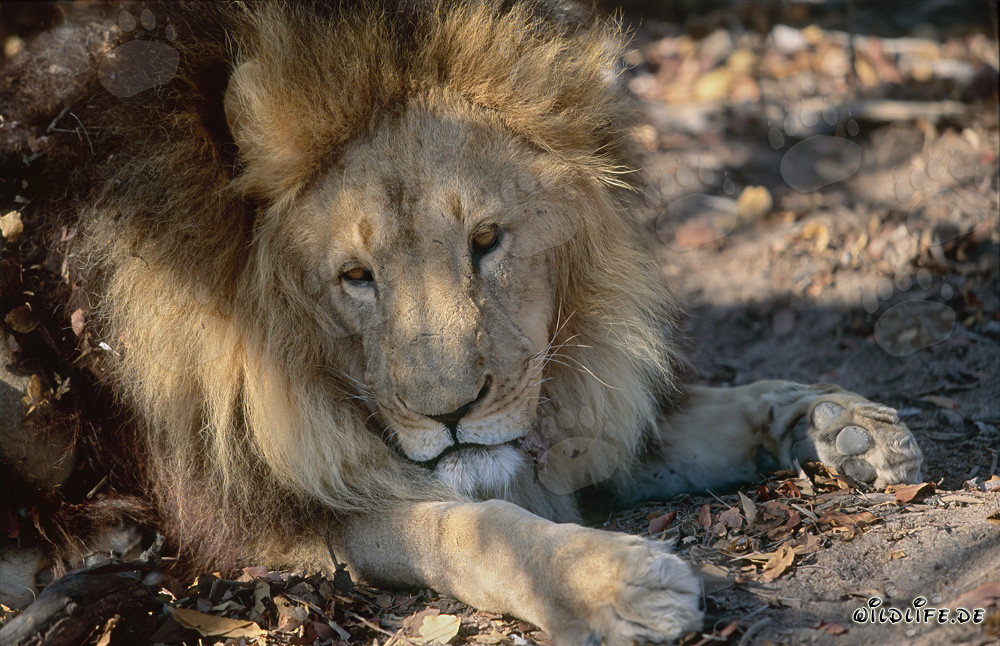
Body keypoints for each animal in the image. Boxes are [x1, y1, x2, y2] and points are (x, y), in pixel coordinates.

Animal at [0, 1, 923, 642]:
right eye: (356, 278)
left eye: (486, 242)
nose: (452, 414)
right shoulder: (275, 516)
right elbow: (470, 527)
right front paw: (613, 586)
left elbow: (697, 419)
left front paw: (839, 426)